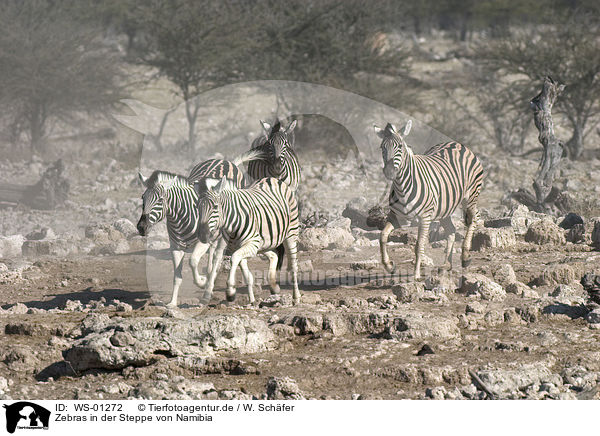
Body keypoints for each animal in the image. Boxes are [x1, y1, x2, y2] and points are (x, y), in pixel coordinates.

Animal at [139, 150, 268, 306]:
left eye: (160, 200)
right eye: (142, 198)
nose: (141, 228)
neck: (180, 216)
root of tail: (226, 161)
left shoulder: (202, 241)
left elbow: (193, 261)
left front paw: (202, 281)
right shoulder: (175, 246)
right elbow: (177, 277)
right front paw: (172, 302)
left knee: (217, 256)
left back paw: (210, 285)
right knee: (213, 255)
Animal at [195, 175, 300, 304]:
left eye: (215, 207)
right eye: (198, 208)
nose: (203, 235)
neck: (231, 224)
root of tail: (272, 178)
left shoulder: (251, 243)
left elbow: (234, 258)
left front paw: (230, 292)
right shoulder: (236, 246)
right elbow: (233, 264)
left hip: (290, 235)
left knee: (294, 266)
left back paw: (296, 297)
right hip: (263, 243)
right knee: (273, 255)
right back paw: (274, 286)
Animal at [376, 121, 482, 282]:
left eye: (400, 146)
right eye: (382, 147)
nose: (389, 172)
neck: (402, 187)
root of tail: (456, 143)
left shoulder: (424, 218)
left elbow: (419, 245)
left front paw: (416, 275)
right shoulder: (396, 217)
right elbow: (382, 236)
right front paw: (389, 266)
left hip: (470, 198)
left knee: (473, 219)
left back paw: (465, 257)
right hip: (445, 209)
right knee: (451, 230)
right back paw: (446, 265)